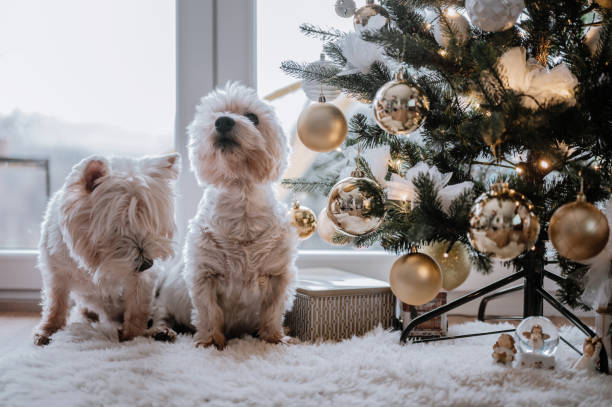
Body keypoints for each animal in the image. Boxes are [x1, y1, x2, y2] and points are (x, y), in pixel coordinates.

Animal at [34, 154, 179, 348]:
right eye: (119, 226)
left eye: (151, 226)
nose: (147, 264)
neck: (94, 261)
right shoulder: (56, 272)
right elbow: (55, 304)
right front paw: (48, 331)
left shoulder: (142, 280)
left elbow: (137, 309)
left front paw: (132, 337)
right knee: (82, 312)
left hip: (160, 301)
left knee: (159, 315)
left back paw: (160, 332)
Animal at [152, 83, 296, 350]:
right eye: (214, 115)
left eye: (253, 117)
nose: (223, 121)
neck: (242, 205)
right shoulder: (204, 274)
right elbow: (209, 311)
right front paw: (210, 341)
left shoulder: (278, 275)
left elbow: (273, 310)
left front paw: (275, 337)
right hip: (166, 299)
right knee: (159, 314)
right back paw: (162, 331)